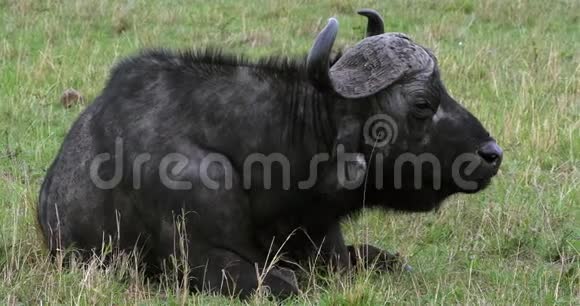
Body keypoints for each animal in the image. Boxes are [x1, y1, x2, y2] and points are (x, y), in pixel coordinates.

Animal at [39, 9, 502, 298]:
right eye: (423, 102)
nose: (491, 153)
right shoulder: (203, 262)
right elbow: (286, 284)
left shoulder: (328, 244)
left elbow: (390, 261)